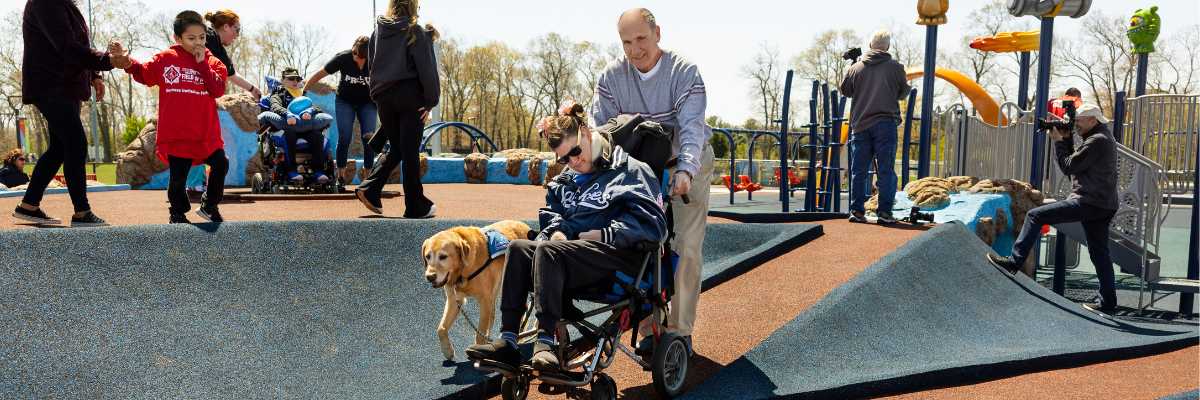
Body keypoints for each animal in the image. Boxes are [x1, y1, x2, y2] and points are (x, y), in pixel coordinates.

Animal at [424, 219, 532, 360]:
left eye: (443, 256)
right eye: (427, 256)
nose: (429, 277)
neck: (463, 271)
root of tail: (525, 225)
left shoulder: (485, 300)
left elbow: (480, 333)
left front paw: (480, 350)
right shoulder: (455, 299)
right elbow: (441, 329)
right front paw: (447, 350)